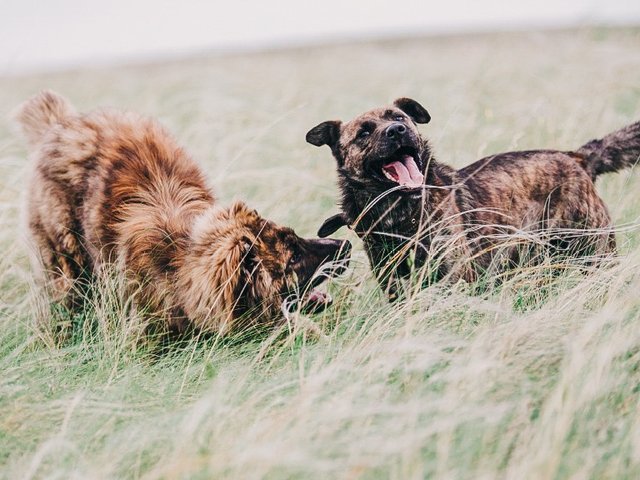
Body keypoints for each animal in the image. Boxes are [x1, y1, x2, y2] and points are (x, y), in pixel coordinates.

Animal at [16, 92, 350, 336]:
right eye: (292, 257)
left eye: (295, 235)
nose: (345, 246)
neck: (177, 259)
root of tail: (61, 123)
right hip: (67, 262)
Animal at [308, 97, 636, 298]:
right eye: (364, 133)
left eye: (400, 117)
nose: (398, 130)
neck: (401, 215)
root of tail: (576, 157)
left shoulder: (452, 281)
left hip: (594, 252)